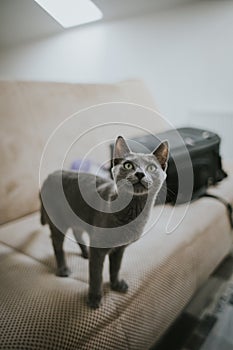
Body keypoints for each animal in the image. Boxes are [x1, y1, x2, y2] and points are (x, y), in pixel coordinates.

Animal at [39, 137, 168, 308]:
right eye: (128, 165)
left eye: (152, 167)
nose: (140, 173)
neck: (132, 213)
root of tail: (49, 176)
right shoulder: (99, 248)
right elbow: (96, 275)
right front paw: (94, 299)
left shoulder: (120, 248)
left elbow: (116, 267)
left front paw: (116, 285)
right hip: (58, 220)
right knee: (57, 244)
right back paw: (64, 269)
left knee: (77, 232)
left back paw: (85, 253)